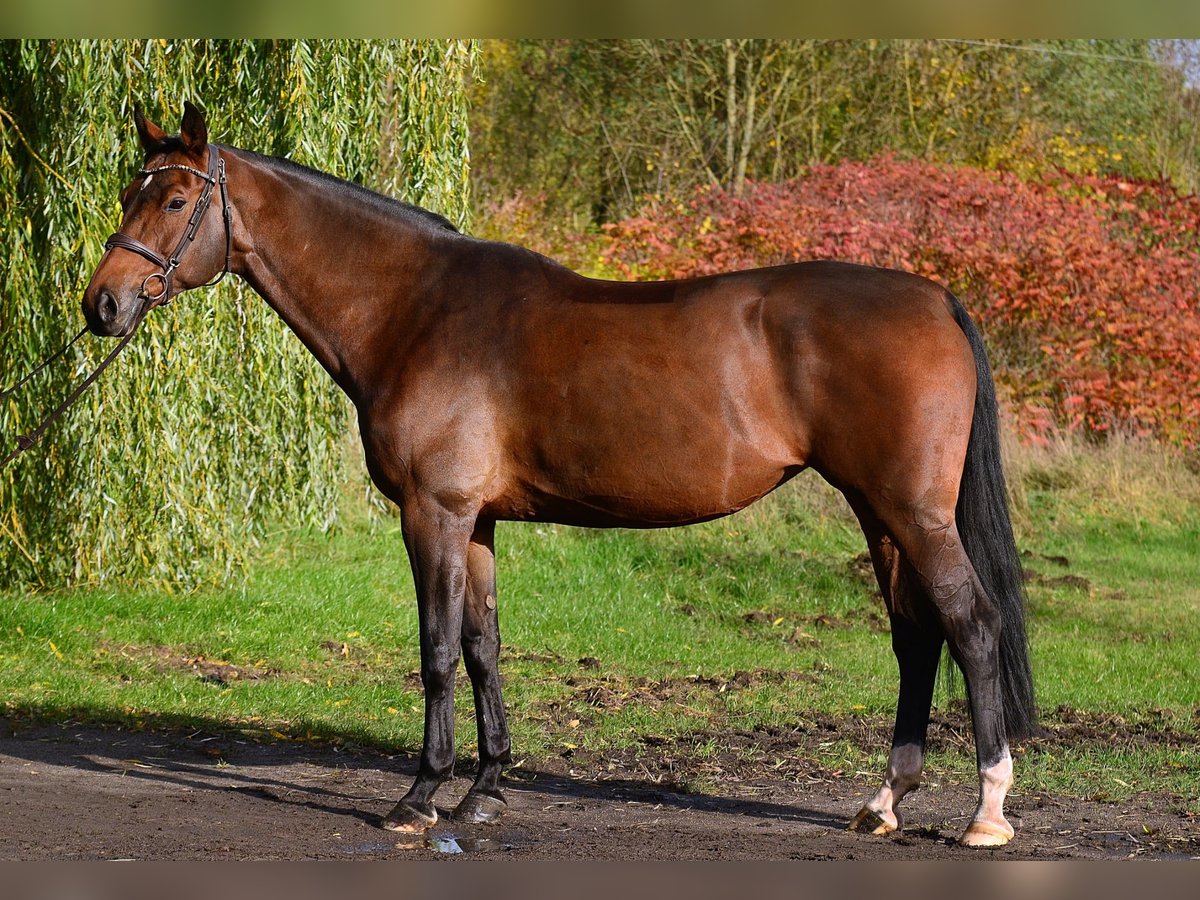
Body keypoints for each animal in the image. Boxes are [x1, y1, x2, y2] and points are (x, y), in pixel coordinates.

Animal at [80, 102, 1035, 847]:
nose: (103, 305)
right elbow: (483, 648)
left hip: (914, 512)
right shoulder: (478, 521)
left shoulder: (433, 512)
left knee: (970, 622)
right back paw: (885, 802)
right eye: (129, 193)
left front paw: (420, 796)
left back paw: (988, 811)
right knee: (916, 635)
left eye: (174, 198)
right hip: (878, 511)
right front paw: (484, 790)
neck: (414, 310)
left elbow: (436, 651)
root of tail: (935, 297)